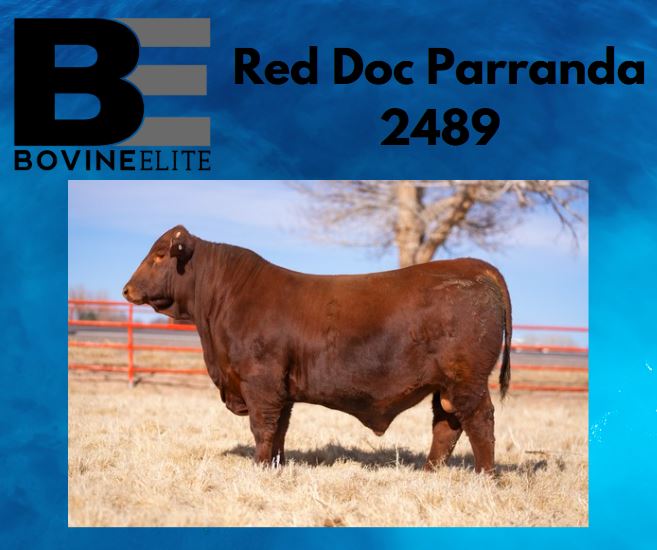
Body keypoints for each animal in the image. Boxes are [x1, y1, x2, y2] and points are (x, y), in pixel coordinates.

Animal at [123, 225, 512, 473]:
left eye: (160, 255)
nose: (127, 289)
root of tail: (473, 265)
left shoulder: (260, 382)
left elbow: (263, 427)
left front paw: (257, 467)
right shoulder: (282, 390)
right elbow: (280, 429)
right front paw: (273, 467)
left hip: (467, 380)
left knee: (480, 421)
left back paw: (485, 476)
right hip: (445, 386)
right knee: (446, 426)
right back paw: (430, 472)